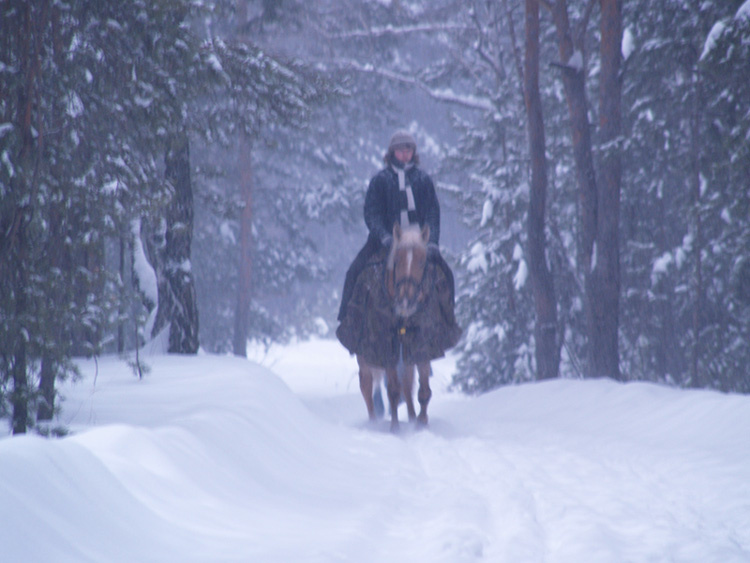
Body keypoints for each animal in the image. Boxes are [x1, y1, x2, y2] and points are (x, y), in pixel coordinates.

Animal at [357, 223, 433, 432]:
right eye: (397, 260)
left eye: (422, 261)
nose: (405, 299)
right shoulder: (387, 349)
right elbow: (392, 390)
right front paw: (395, 428)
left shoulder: (421, 348)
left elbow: (422, 389)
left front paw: (421, 422)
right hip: (364, 357)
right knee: (367, 386)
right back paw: (373, 423)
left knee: (406, 385)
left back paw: (412, 417)